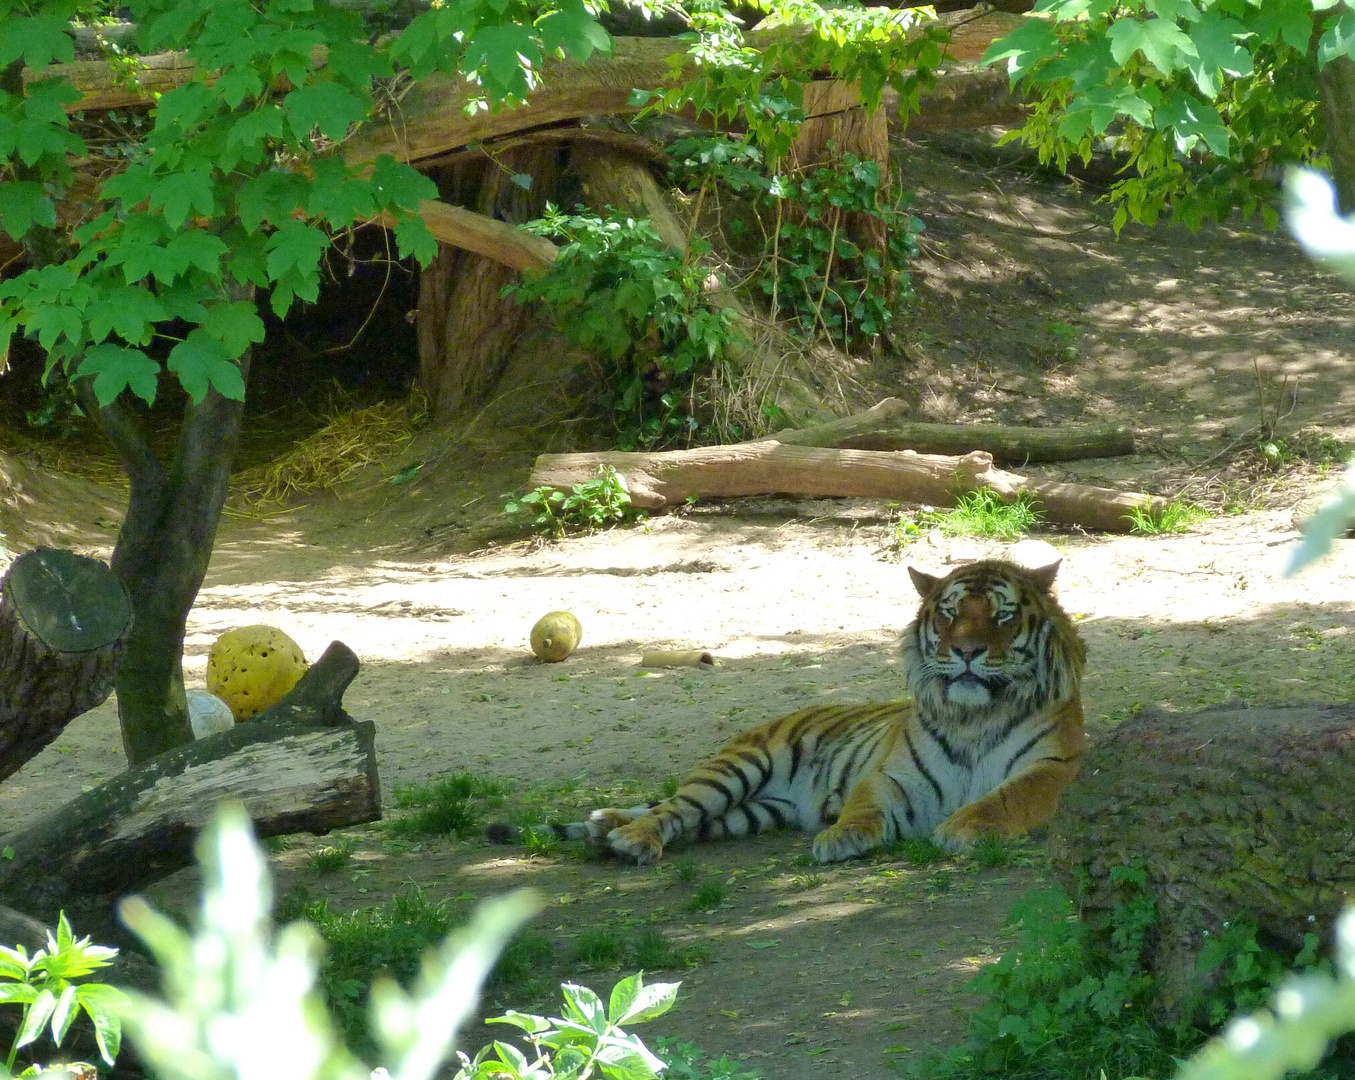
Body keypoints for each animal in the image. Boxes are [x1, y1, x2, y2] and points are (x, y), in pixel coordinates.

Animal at [512, 561, 1084, 861]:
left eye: (1003, 616)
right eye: (948, 614)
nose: (965, 651)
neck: (973, 717)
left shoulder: (1050, 769)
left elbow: (1005, 798)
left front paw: (961, 828)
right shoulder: (892, 774)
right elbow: (864, 804)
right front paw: (839, 836)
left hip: (749, 814)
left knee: (686, 817)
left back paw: (606, 828)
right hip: (734, 770)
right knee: (672, 807)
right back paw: (626, 835)